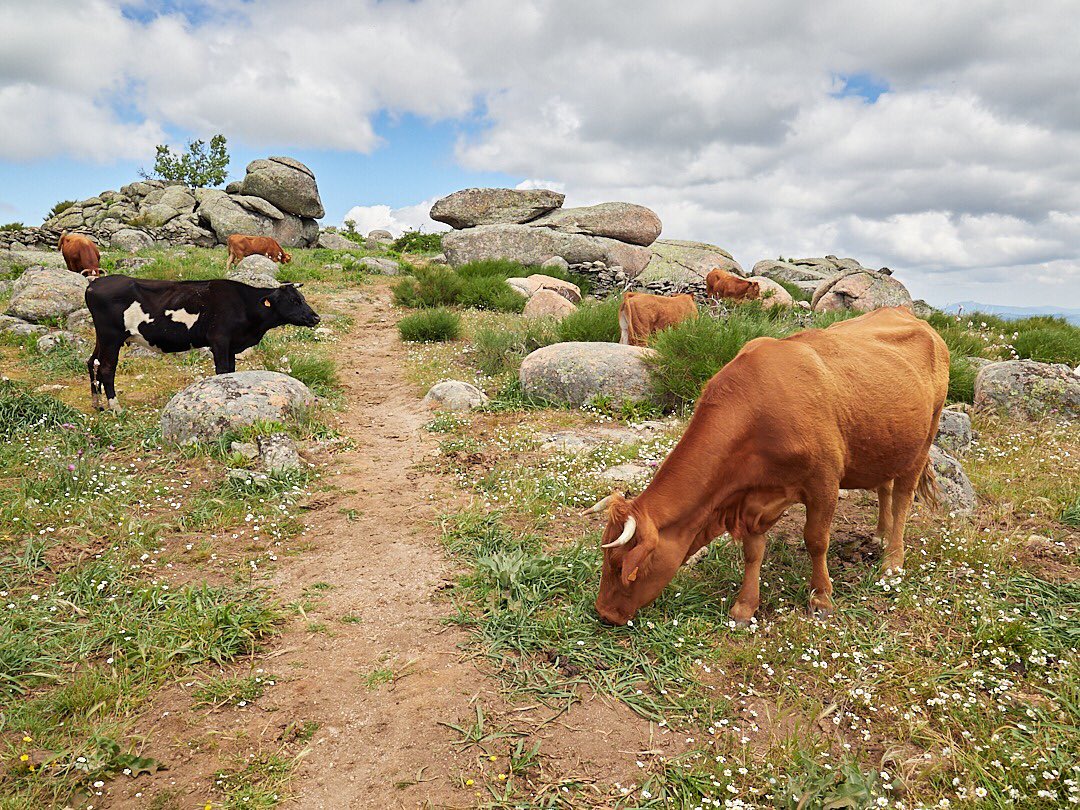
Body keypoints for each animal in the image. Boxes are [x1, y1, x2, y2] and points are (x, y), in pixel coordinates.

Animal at [84, 276, 319, 412]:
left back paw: (97, 404)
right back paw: (115, 408)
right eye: (294, 300)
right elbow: (222, 371)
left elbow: (231, 371)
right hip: (111, 337)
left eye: (302, 298)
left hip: (103, 338)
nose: (315, 317)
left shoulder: (231, 345)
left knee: (92, 362)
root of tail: (95, 283)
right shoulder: (220, 340)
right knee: (106, 368)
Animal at [587, 304, 950, 626]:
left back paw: (893, 562)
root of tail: (905, 312)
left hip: (925, 438)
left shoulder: (824, 481)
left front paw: (821, 598)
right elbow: (753, 551)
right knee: (885, 486)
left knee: (903, 498)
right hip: (889, 442)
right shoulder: (750, 497)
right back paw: (879, 535)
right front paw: (745, 607)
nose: (604, 613)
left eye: (620, 565)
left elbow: (816, 541)